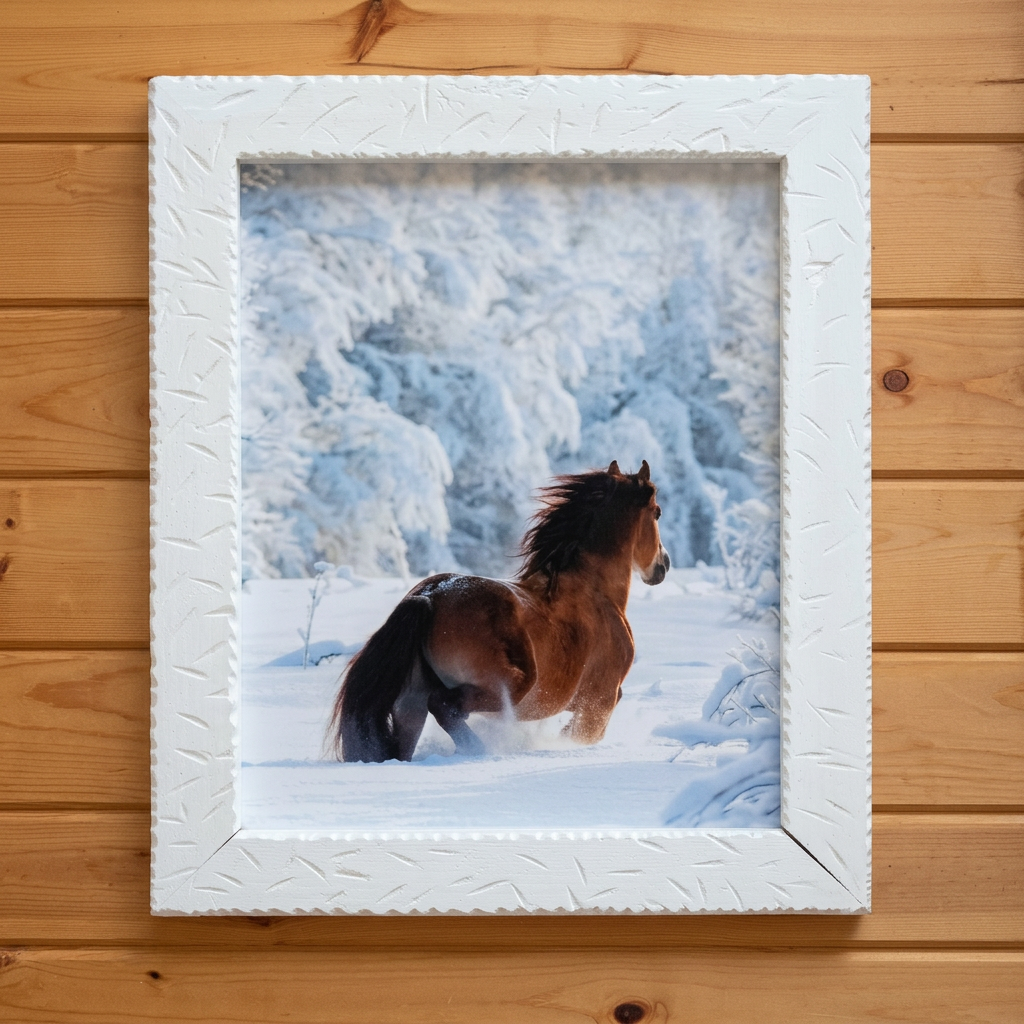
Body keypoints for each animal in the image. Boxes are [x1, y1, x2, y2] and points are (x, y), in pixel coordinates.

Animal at [326, 460, 670, 762]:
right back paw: (480, 750)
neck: (595, 592)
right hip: (509, 687)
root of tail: (429, 597)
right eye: (657, 512)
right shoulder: (600, 701)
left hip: (410, 705)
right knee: (444, 706)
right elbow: (581, 735)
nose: (663, 565)